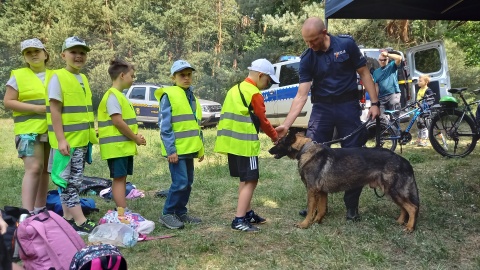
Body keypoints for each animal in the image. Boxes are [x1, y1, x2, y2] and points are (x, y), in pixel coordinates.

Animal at [270, 129, 420, 232]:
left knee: (412, 208)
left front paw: (305, 224)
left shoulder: (312, 191)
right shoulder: (322, 192)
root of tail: (404, 161)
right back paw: (400, 222)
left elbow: (311, 209)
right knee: (404, 207)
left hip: (393, 190)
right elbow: (321, 209)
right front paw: (318, 221)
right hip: (391, 192)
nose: (269, 150)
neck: (305, 149)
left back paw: (410, 227)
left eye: (278, 142)